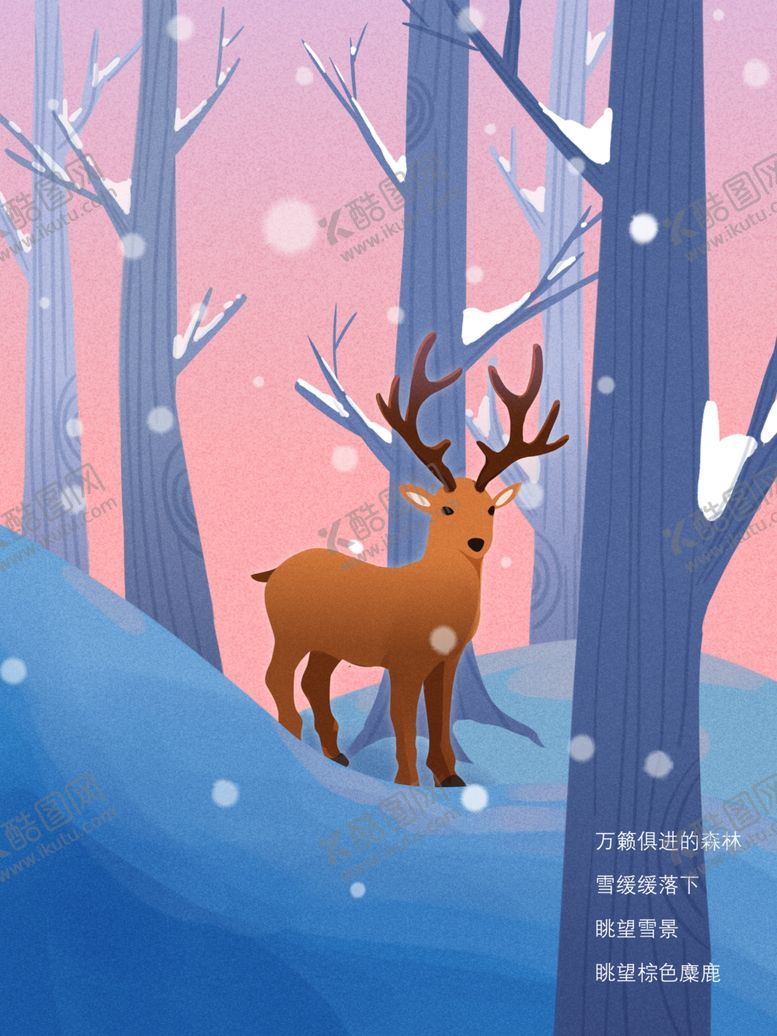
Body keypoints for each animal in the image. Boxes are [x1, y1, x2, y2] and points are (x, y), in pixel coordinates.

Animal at [252, 333, 568, 786]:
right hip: (288, 631)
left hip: (327, 644)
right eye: (446, 508)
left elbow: (440, 713)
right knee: (275, 676)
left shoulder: (447, 659)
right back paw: (296, 745)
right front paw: (409, 781)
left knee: (314, 681)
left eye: (491, 508)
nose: (476, 542)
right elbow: (402, 717)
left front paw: (450, 777)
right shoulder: (402, 658)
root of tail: (273, 571)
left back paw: (335, 755)